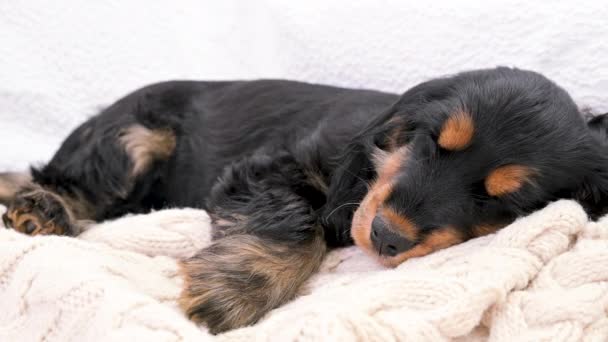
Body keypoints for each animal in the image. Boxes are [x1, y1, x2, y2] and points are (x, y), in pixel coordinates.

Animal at [1, 67, 608, 334]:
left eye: (502, 199)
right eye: (433, 142)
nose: (386, 237)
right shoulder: (267, 168)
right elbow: (296, 220)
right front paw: (236, 290)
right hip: (130, 136)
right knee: (65, 180)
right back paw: (41, 209)